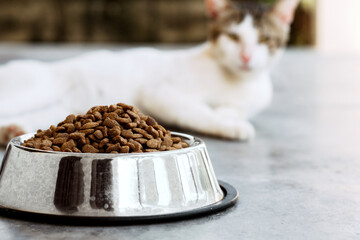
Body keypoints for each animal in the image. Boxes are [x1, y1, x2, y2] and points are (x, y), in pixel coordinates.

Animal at [0, 0, 298, 145]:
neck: (237, 81)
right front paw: (233, 127)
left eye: (265, 40)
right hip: (34, 88)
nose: (246, 57)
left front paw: (229, 117)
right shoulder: (159, 93)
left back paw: (11, 130)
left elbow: (232, 110)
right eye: (233, 37)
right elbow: (198, 111)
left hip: (59, 109)